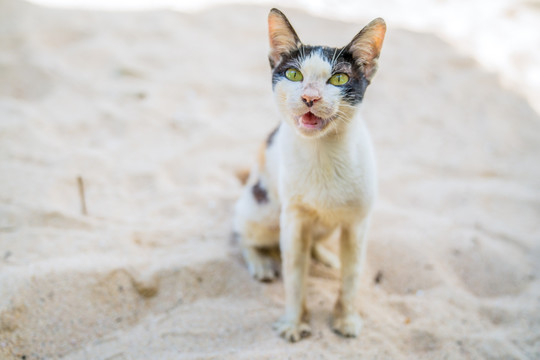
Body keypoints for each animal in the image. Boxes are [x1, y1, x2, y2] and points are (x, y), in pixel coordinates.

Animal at [232, 7, 384, 342]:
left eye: (339, 78)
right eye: (294, 75)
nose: (310, 98)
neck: (323, 153)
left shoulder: (358, 222)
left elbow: (352, 276)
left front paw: (345, 317)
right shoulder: (293, 219)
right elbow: (294, 274)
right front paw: (293, 321)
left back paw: (326, 256)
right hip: (265, 209)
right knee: (240, 233)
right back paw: (260, 262)